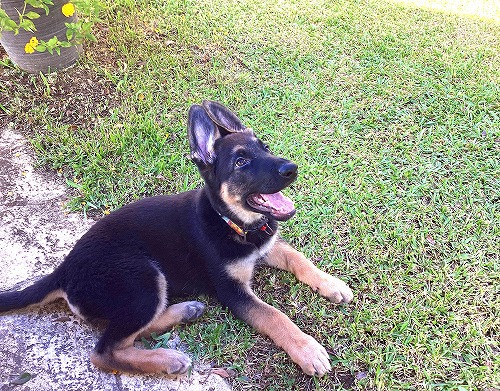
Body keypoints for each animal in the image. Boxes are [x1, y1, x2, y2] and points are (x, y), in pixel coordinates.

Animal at [0, 102, 352, 378]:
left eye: (264, 148)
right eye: (240, 162)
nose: (292, 168)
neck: (231, 222)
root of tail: (64, 270)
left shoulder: (266, 244)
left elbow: (298, 258)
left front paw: (332, 284)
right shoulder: (233, 292)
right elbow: (274, 316)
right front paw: (307, 350)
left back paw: (184, 312)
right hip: (141, 276)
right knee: (104, 351)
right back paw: (167, 359)